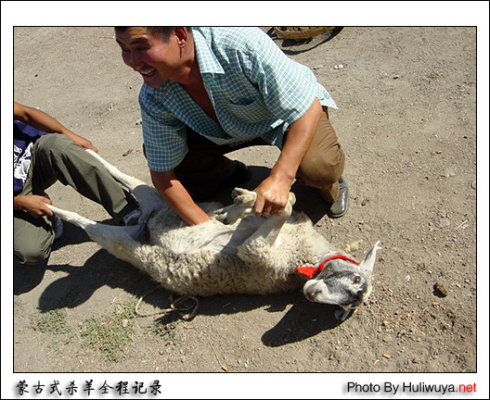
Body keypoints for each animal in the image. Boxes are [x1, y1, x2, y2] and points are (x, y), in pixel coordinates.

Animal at [47, 150, 380, 322]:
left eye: (344, 309)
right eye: (356, 278)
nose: (311, 294)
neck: (302, 253)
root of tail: (145, 222)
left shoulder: (256, 253)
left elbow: (282, 208)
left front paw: (244, 203)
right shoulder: (267, 229)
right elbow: (286, 202)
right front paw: (240, 202)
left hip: (121, 241)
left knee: (87, 222)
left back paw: (50, 209)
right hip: (155, 196)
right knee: (121, 173)